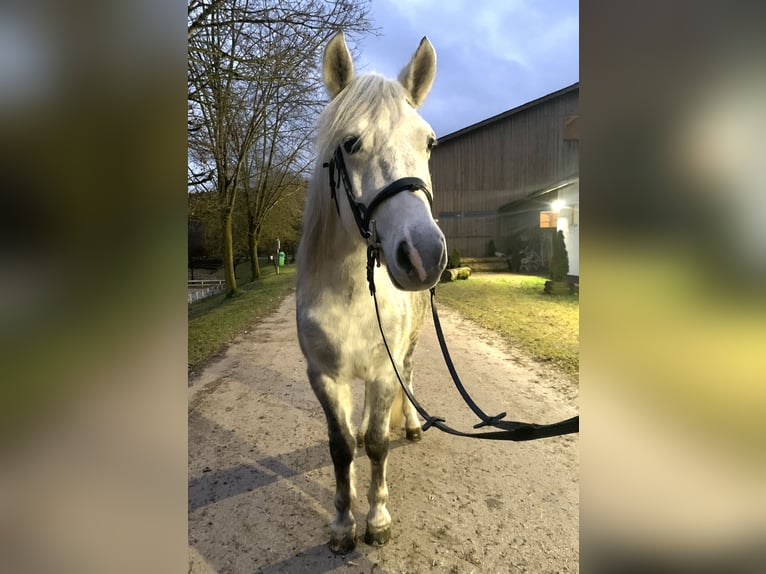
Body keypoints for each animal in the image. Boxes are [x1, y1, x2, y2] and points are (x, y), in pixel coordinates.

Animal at [296, 32, 447, 554]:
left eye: (429, 142)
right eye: (351, 143)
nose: (424, 254)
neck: (350, 292)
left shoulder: (384, 369)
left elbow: (381, 445)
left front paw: (377, 520)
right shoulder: (324, 376)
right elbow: (341, 447)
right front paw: (343, 525)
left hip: (409, 347)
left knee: (410, 377)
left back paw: (415, 425)